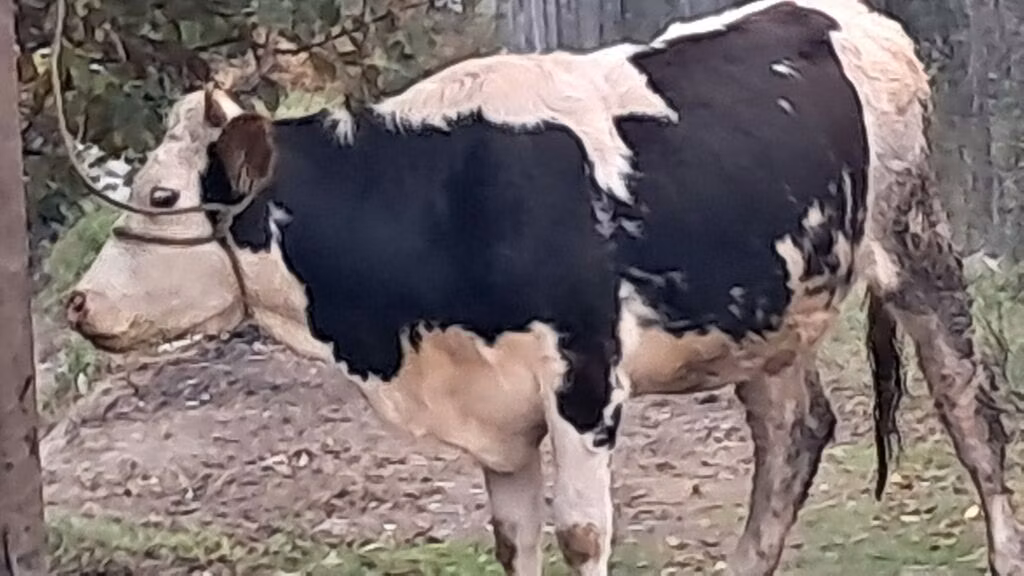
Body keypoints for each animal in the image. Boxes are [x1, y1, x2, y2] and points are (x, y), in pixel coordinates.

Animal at [64, 0, 1024, 574]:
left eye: (161, 196)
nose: (77, 304)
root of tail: (851, 15)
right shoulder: (496, 410)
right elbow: (512, 539)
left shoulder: (585, 380)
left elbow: (581, 533)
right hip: (771, 308)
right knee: (793, 437)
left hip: (915, 243)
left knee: (972, 419)